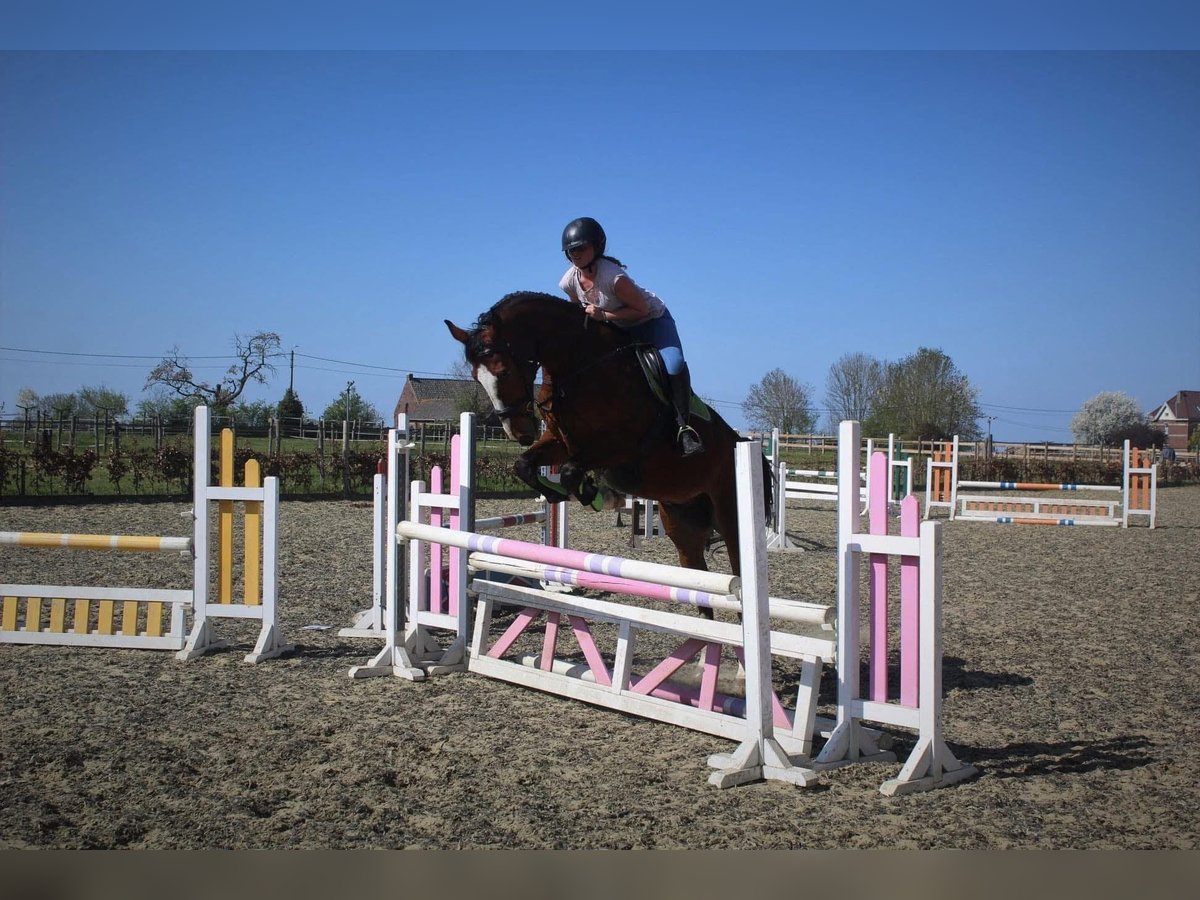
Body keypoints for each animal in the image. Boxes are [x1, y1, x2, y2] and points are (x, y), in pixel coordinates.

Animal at [446, 290, 772, 600]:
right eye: (477, 377)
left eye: (503, 372)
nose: (519, 433)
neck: (581, 366)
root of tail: (740, 440)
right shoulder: (561, 442)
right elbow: (524, 465)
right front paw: (559, 493)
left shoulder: (624, 447)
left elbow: (570, 470)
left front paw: (590, 493)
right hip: (683, 522)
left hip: (729, 514)